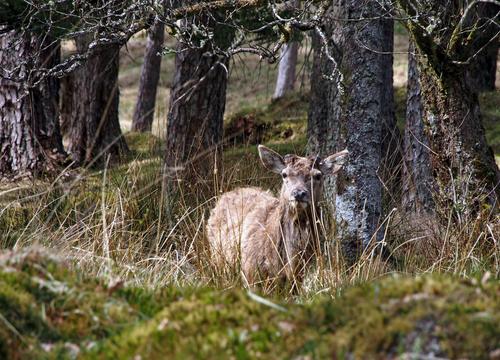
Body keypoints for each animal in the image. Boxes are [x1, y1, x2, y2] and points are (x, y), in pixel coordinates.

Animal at [206, 145, 348, 288]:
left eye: (318, 175)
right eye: (284, 174)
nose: (299, 193)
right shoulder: (250, 274)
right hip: (218, 260)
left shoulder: (297, 281)